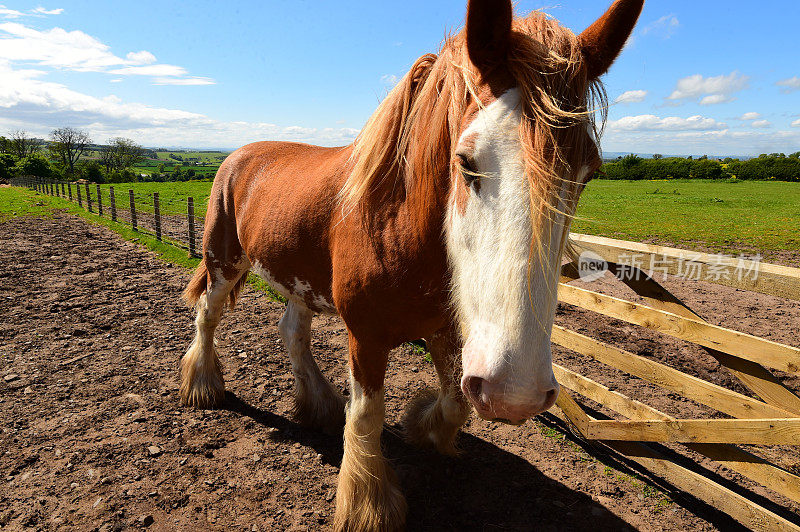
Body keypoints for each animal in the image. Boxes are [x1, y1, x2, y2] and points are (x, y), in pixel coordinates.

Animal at [178, 2, 640, 528]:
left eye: (590, 171)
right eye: (466, 160)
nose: (515, 391)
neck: (397, 226)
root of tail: (238, 155)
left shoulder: (447, 331)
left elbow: (456, 401)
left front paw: (423, 427)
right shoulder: (365, 337)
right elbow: (366, 415)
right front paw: (368, 502)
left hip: (300, 281)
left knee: (292, 331)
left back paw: (317, 405)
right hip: (223, 261)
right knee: (208, 315)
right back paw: (202, 385)